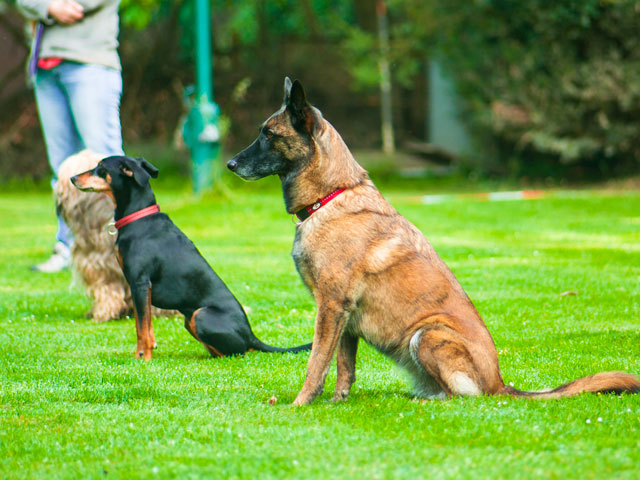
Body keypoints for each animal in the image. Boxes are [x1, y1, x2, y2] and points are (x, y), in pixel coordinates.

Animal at [71, 156, 312, 362]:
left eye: (100, 168)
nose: (73, 178)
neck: (139, 218)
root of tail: (251, 335)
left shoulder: (139, 284)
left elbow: (143, 329)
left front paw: (143, 358)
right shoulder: (138, 288)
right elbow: (144, 326)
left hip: (200, 315)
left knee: (238, 353)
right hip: (190, 320)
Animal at [228, 78, 636, 404]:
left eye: (268, 135)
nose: (230, 164)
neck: (330, 196)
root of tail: (500, 384)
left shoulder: (330, 307)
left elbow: (317, 363)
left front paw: (300, 404)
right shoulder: (344, 318)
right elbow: (343, 367)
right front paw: (337, 403)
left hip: (427, 334)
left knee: (464, 397)